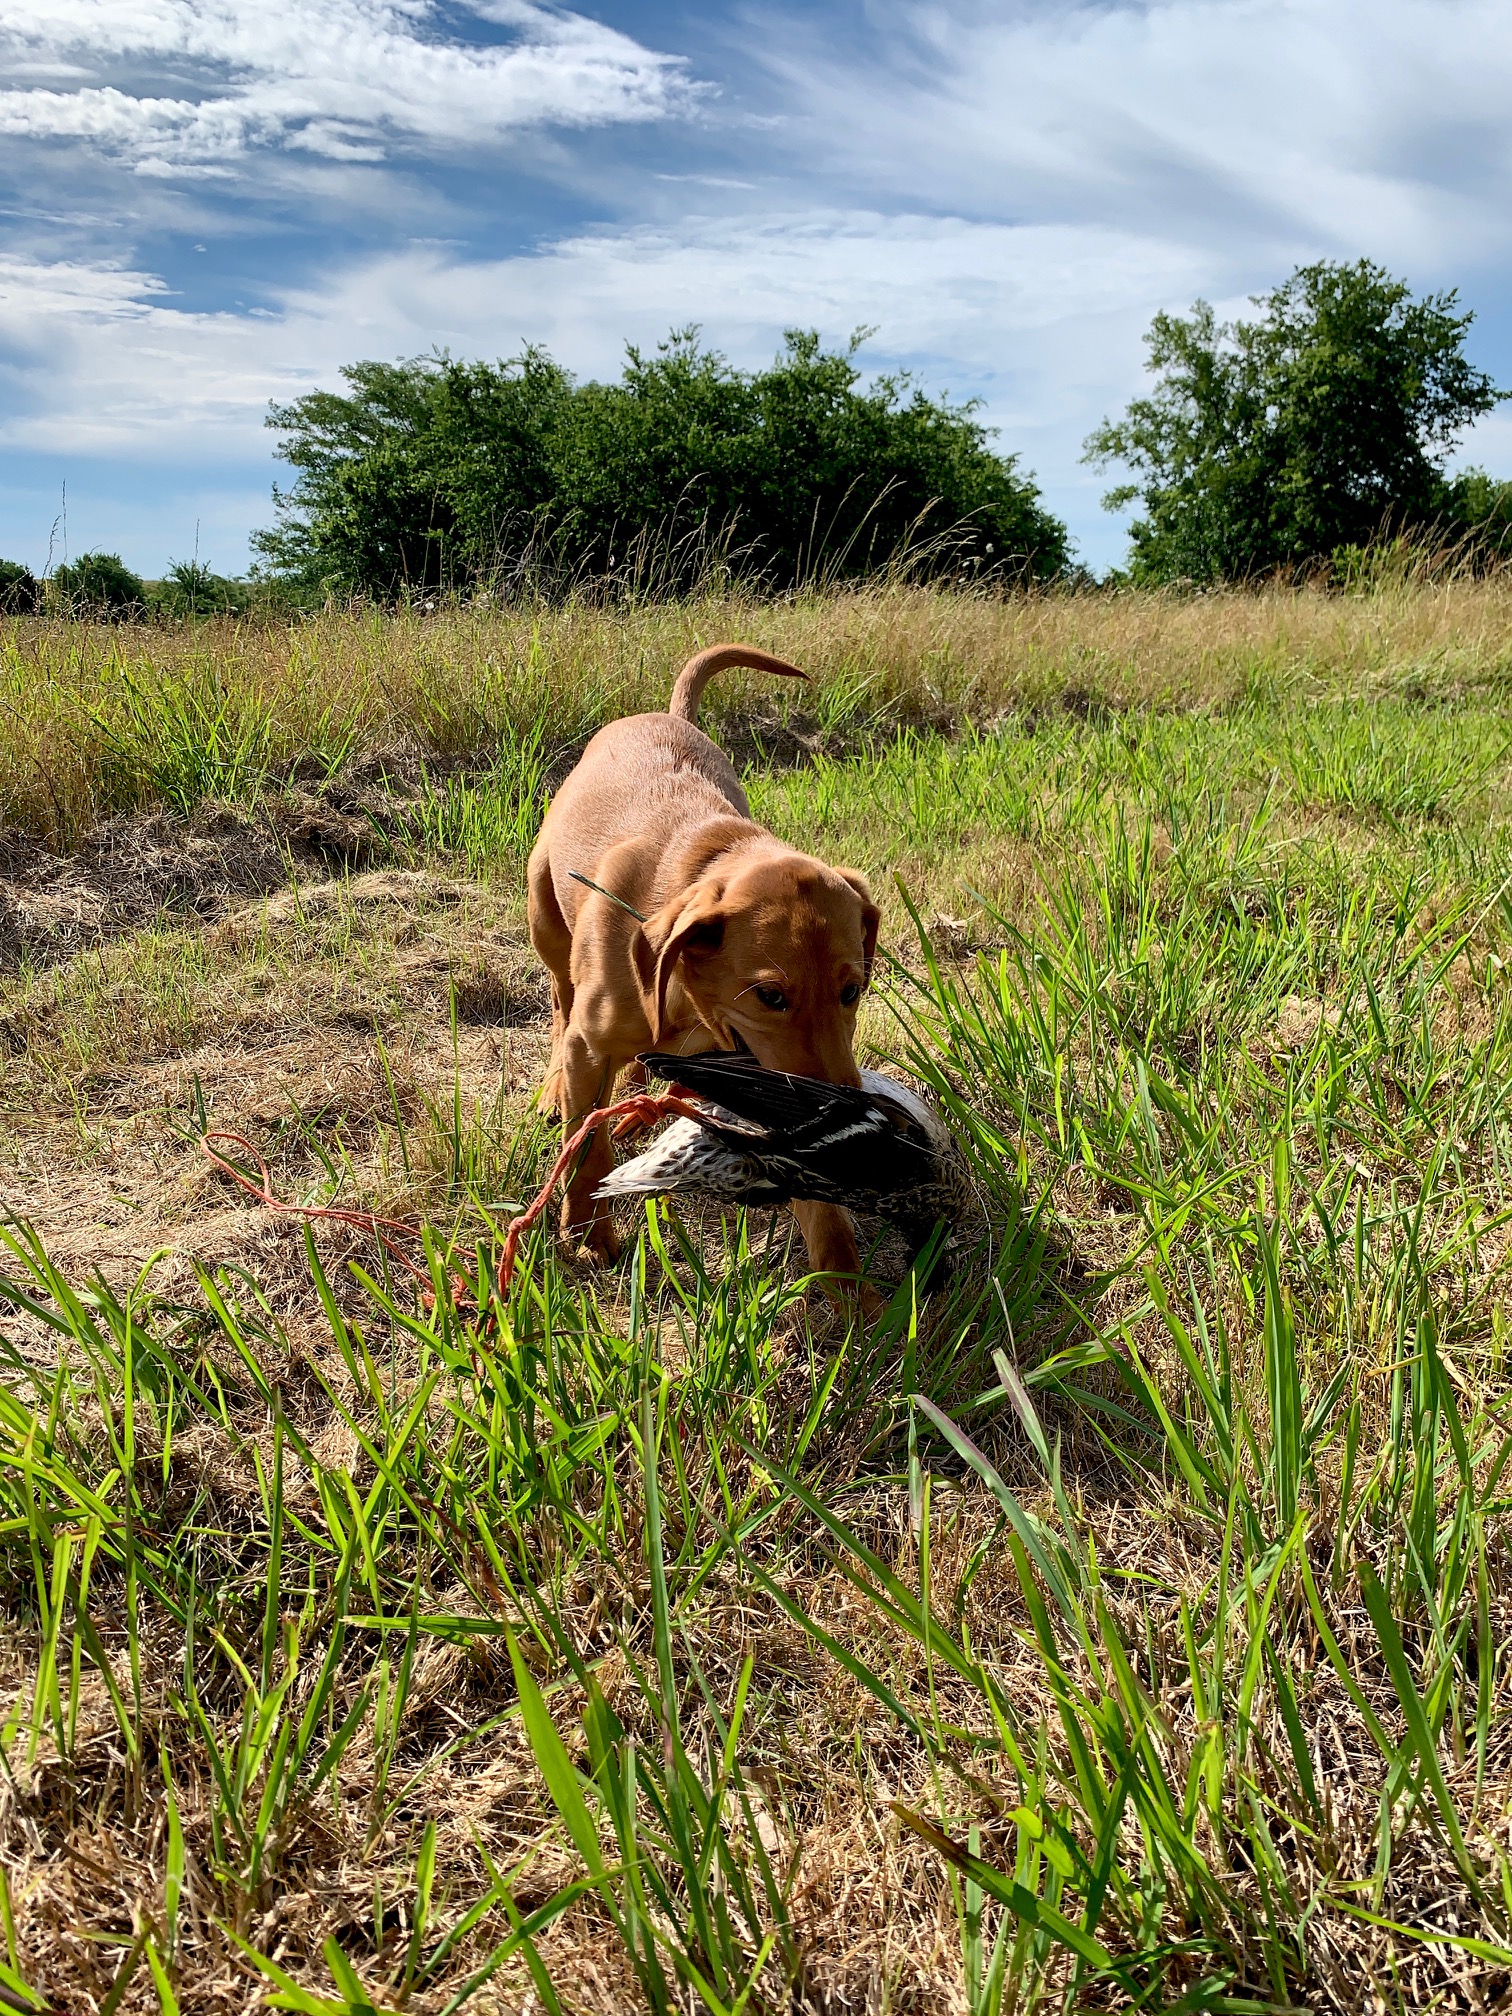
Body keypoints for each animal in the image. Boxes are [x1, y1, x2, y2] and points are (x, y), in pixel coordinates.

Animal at [532, 645, 883, 1282]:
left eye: (852, 991)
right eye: (770, 996)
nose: (845, 1115)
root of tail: (664, 714)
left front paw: (851, 1287)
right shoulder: (588, 1048)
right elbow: (587, 1146)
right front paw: (589, 1231)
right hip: (545, 917)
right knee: (558, 1002)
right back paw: (557, 1088)